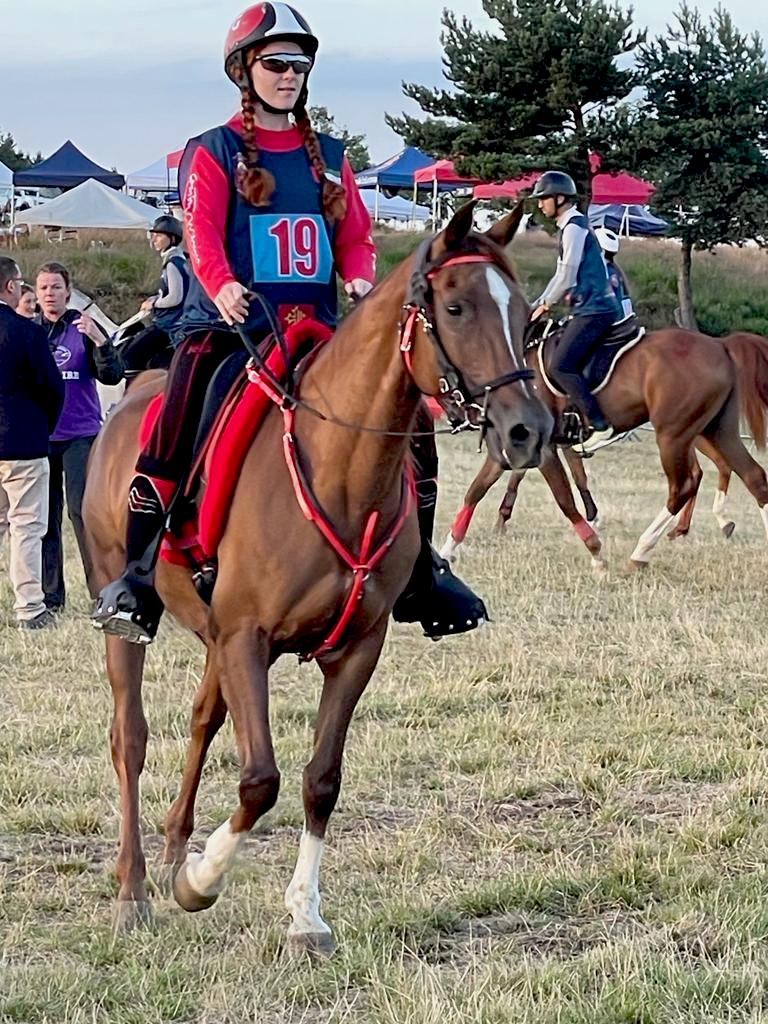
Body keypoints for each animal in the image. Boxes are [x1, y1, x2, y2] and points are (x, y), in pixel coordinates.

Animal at [82, 201, 552, 950]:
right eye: (455, 307)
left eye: (527, 317)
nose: (527, 431)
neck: (342, 468)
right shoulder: (247, 640)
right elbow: (259, 780)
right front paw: (202, 881)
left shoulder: (354, 648)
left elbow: (319, 779)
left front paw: (303, 913)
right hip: (130, 612)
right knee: (130, 738)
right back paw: (135, 888)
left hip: (216, 637)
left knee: (203, 720)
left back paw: (175, 845)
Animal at [438, 325, 768, 569]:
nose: (456, 417)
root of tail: (720, 346)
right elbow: (477, 490)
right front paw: (447, 551)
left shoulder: (545, 449)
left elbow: (564, 496)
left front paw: (594, 546)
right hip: (717, 431)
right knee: (753, 477)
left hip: (674, 436)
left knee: (684, 485)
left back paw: (643, 550)